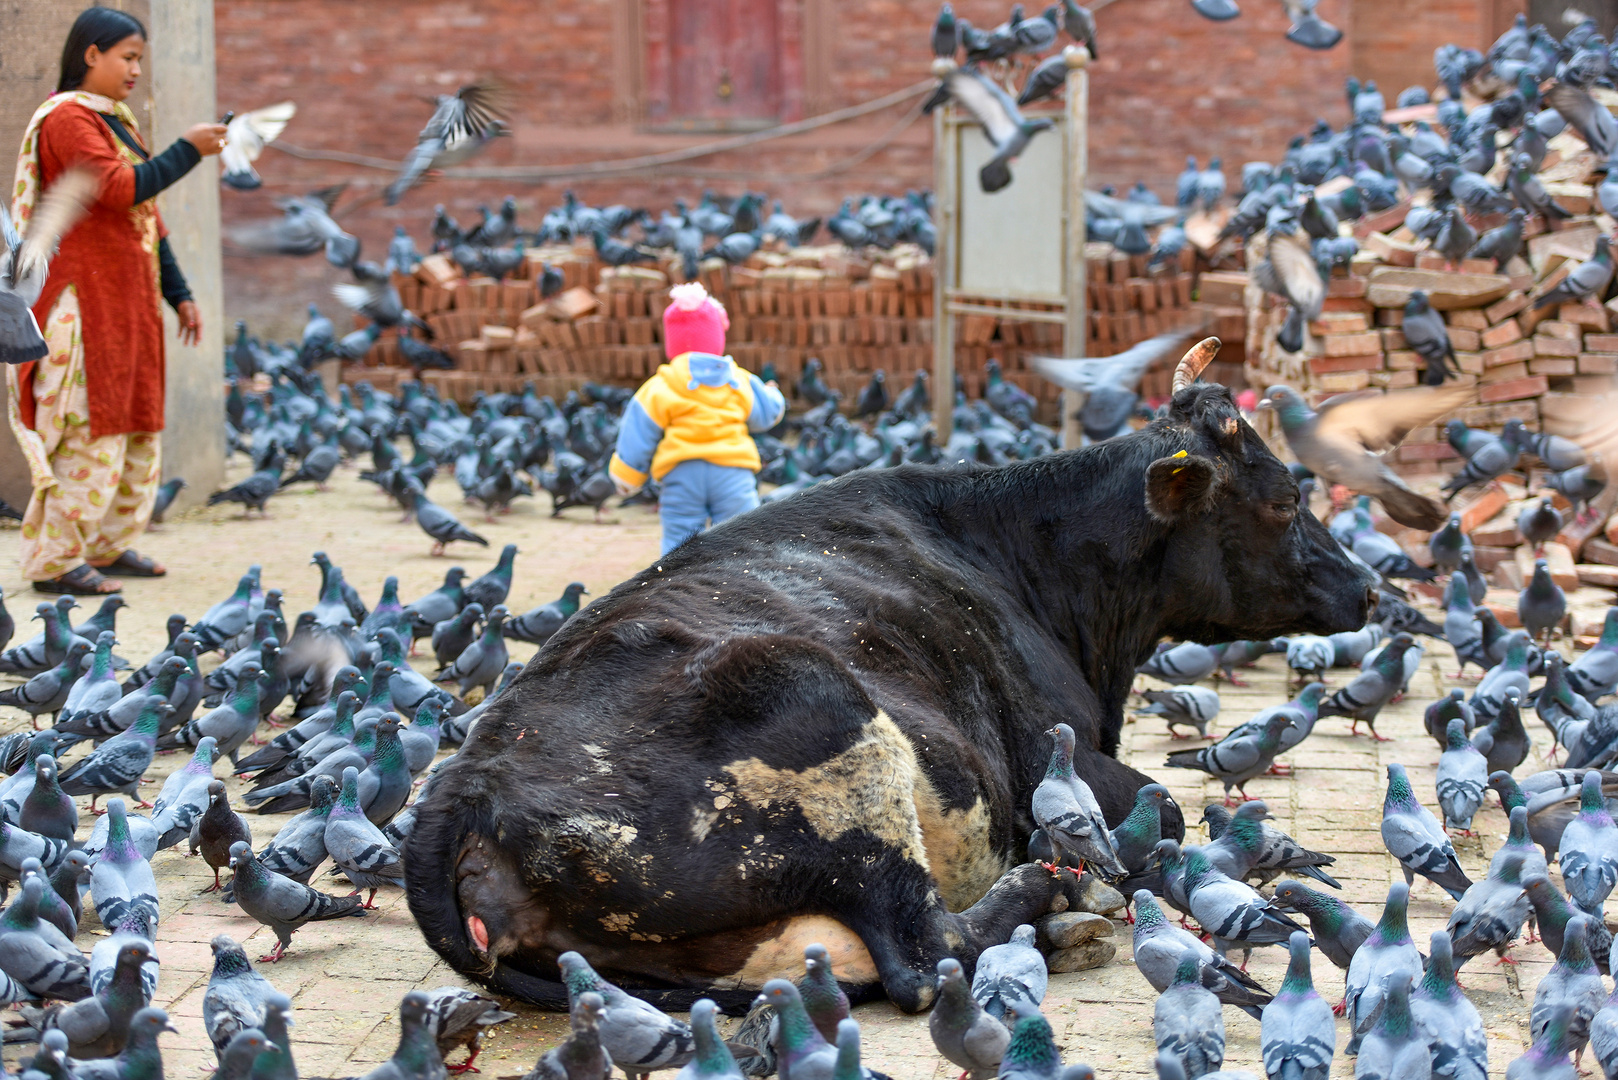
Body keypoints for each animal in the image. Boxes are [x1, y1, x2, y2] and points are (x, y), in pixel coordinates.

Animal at [407, 344, 1378, 1016]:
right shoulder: (1051, 756)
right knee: (923, 954)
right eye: (1286, 499)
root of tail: (464, 785)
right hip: (830, 726)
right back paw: (1057, 901)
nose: (1370, 587)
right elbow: (1165, 809)